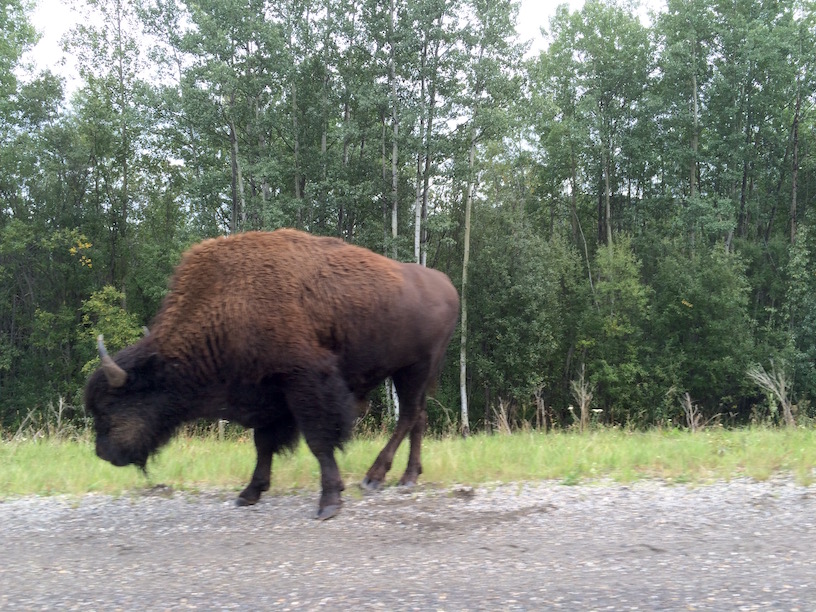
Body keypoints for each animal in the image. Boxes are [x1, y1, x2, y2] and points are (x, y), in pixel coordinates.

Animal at [88, 228, 462, 516]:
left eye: (112, 406)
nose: (103, 453)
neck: (227, 303)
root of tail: (445, 284)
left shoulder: (305, 383)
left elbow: (318, 440)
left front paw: (329, 501)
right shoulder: (265, 394)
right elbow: (263, 444)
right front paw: (249, 493)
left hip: (415, 369)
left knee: (408, 416)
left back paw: (375, 477)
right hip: (410, 373)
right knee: (418, 418)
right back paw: (408, 477)